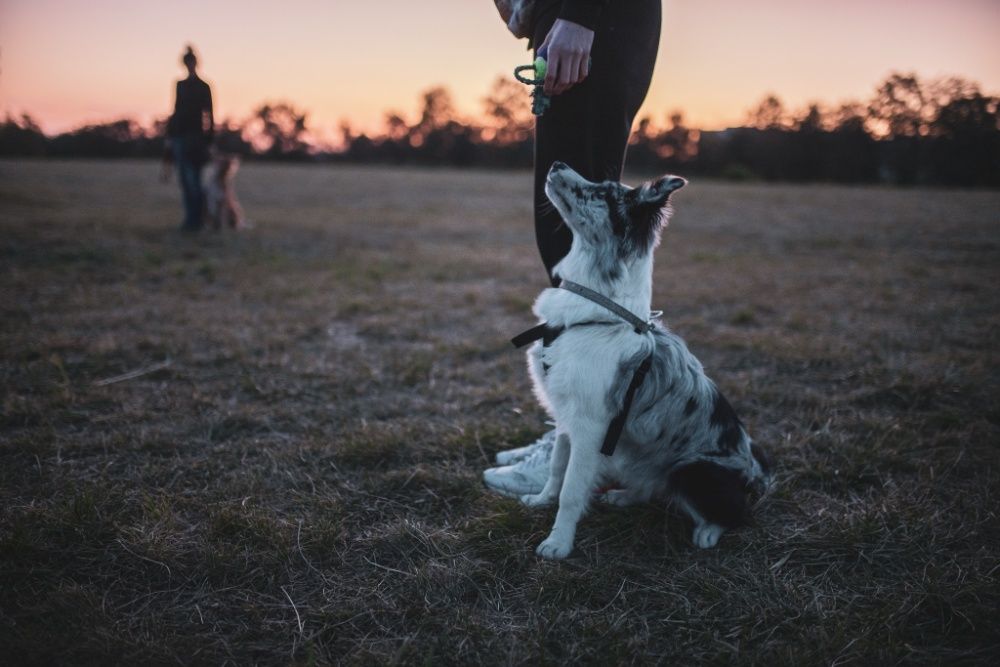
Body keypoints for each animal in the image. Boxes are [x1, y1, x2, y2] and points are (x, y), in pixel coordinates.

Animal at [520, 162, 768, 560]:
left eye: (603, 193)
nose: (557, 164)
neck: (597, 310)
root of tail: (756, 473)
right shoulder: (566, 416)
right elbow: (558, 468)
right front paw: (541, 500)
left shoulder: (590, 426)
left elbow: (572, 490)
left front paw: (558, 543)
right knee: (654, 488)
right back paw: (623, 497)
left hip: (692, 471)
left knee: (734, 513)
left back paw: (707, 532)